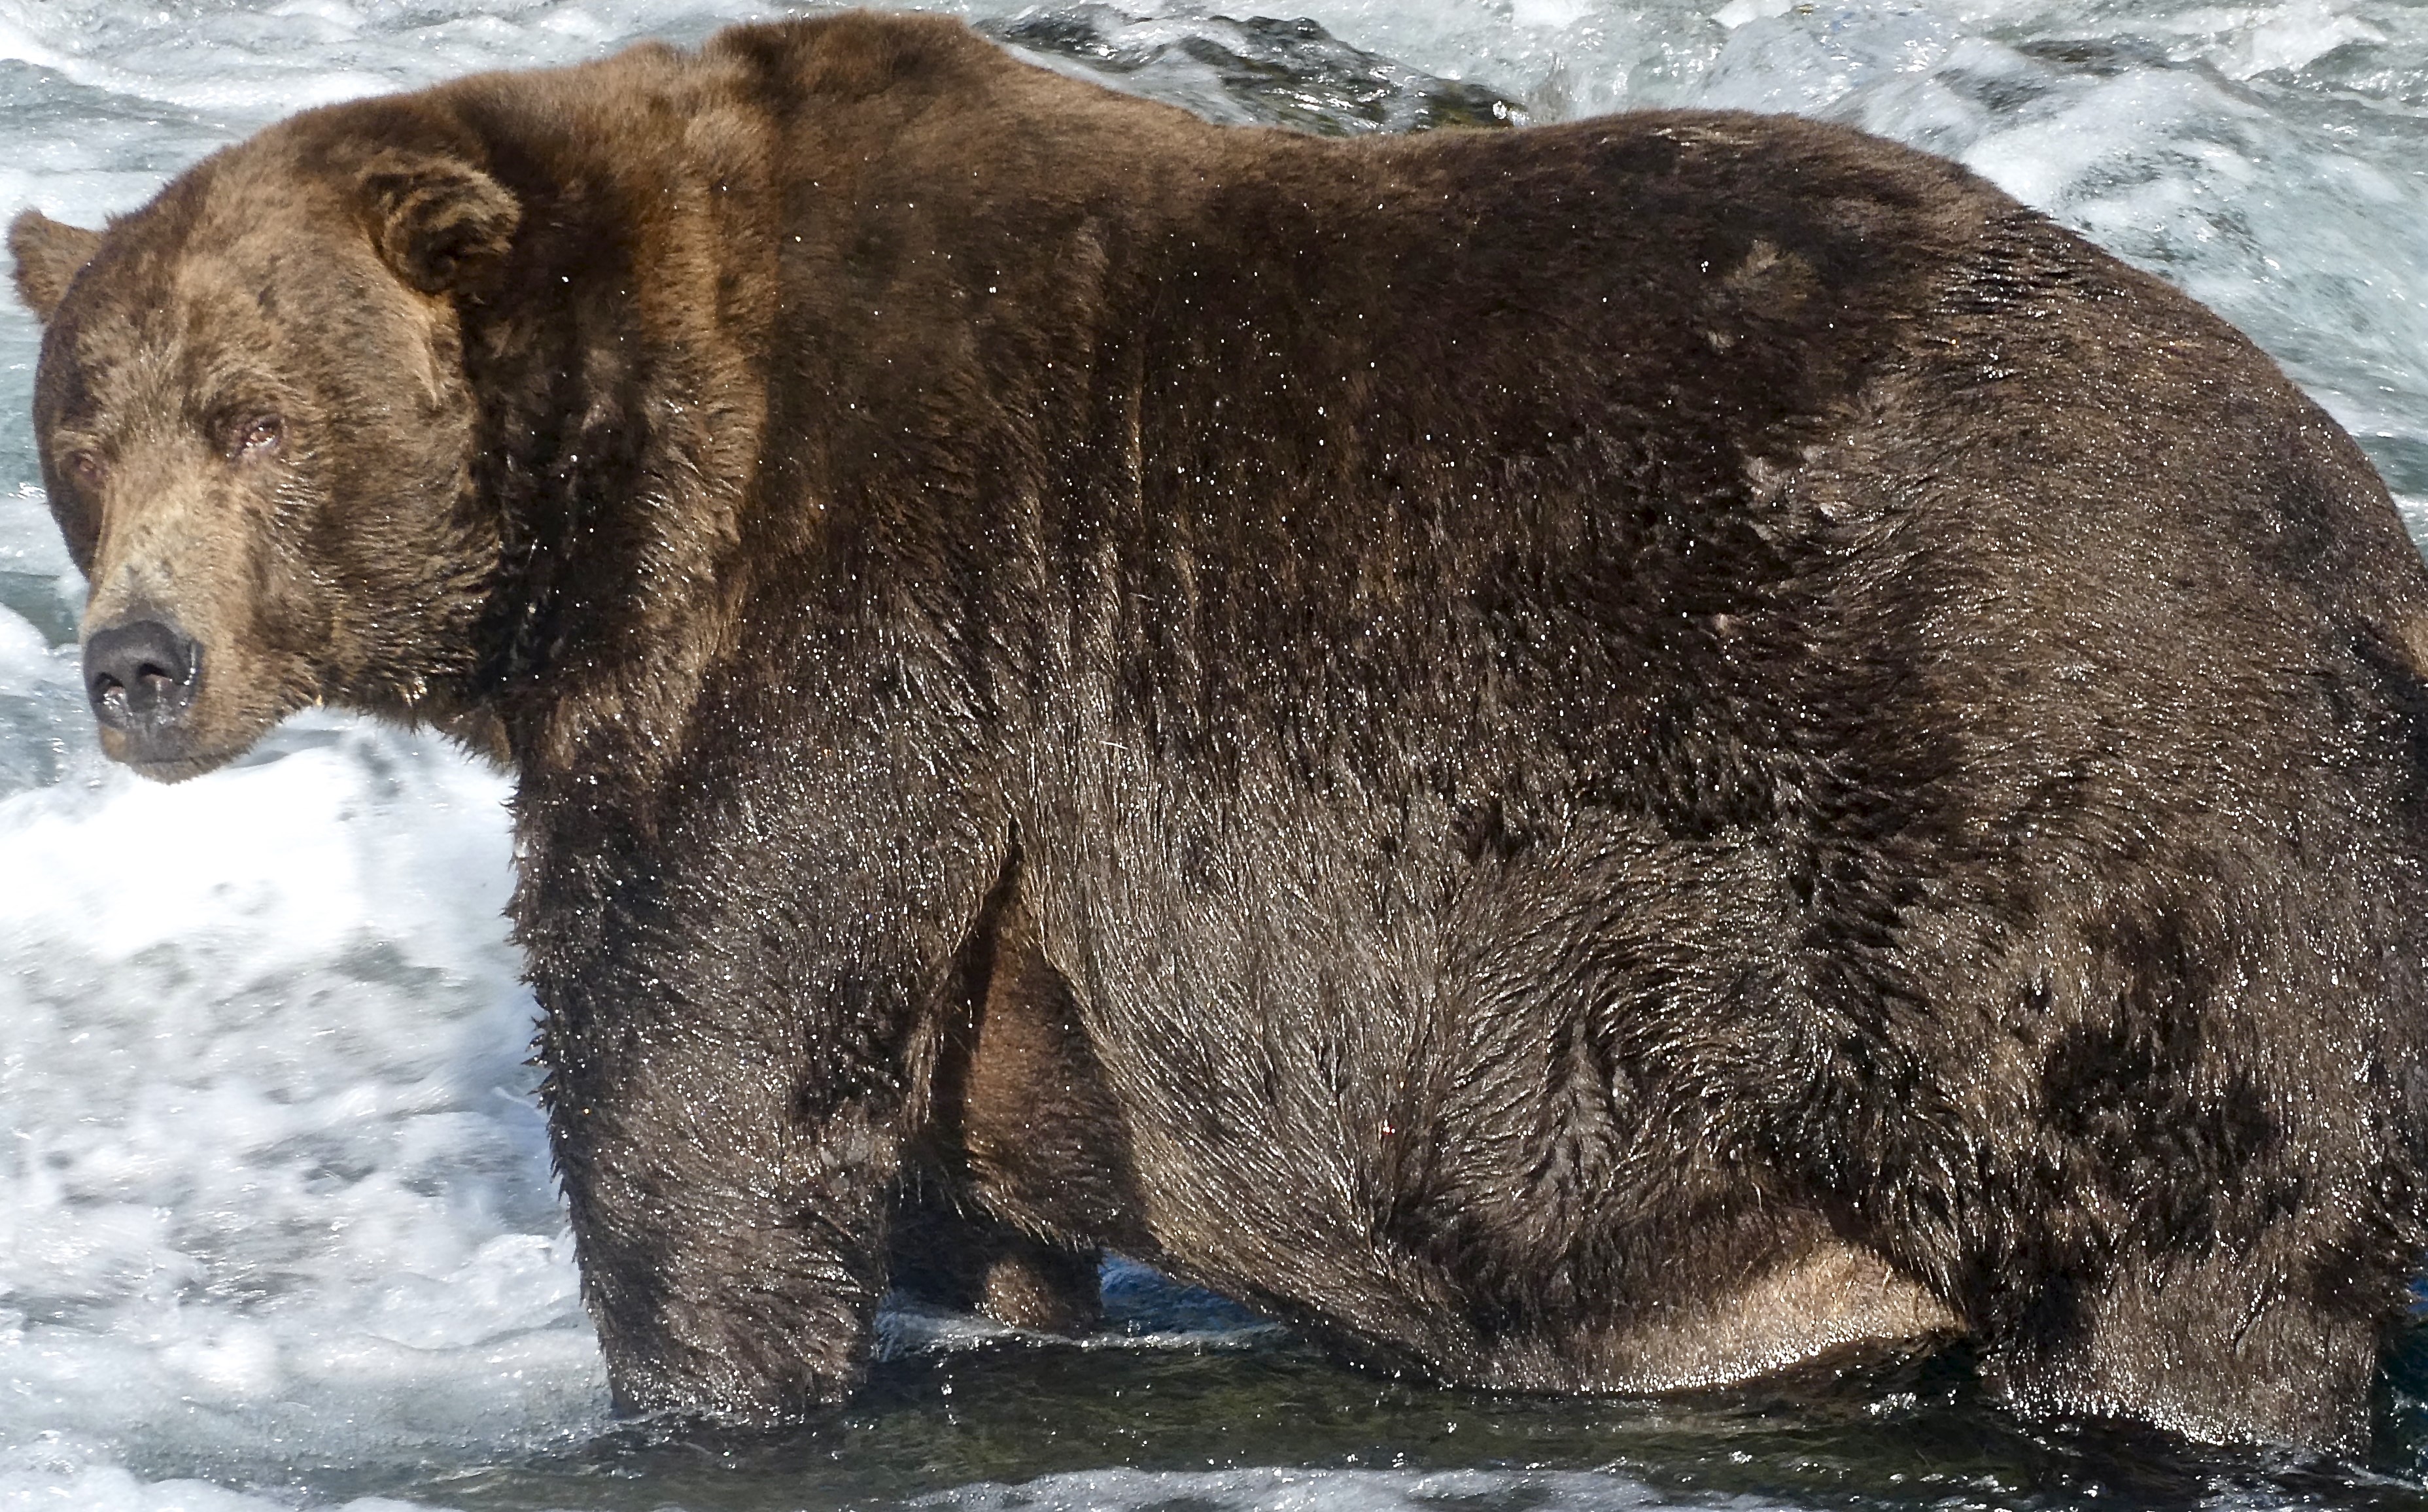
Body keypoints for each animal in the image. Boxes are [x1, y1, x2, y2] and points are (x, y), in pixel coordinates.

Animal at [12, 7, 2428, 1453]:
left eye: (251, 412)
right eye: (80, 430)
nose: (134, 663)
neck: (609, 499)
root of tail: (2361, 516)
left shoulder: (858, 599)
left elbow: (706, 1063)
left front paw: (698, 1388)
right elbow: (932, 1176)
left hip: (2077, 837)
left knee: (2184, 1254)